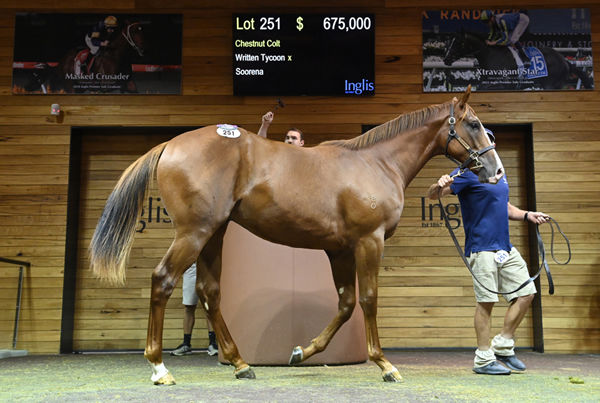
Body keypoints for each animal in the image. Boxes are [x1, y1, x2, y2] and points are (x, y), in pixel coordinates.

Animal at [88, 87, 502, 386]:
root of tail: (170, 145)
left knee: (209, 292)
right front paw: (385, 364)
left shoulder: (339, 250)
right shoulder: (369, 241)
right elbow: (368, 300)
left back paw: (240, 363)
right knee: (163, 280)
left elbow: (346, 304)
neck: (375, 163)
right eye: (474, 124)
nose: (495, 171)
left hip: (214, 234)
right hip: (194, 233)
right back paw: (160, 368)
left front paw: (302, 351)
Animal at [442, 32, 592, 90]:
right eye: (450, 42)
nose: (446, 59)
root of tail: (565, 61)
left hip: (551, 85)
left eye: (458, 43)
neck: (490, 54)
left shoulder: (504, 85)